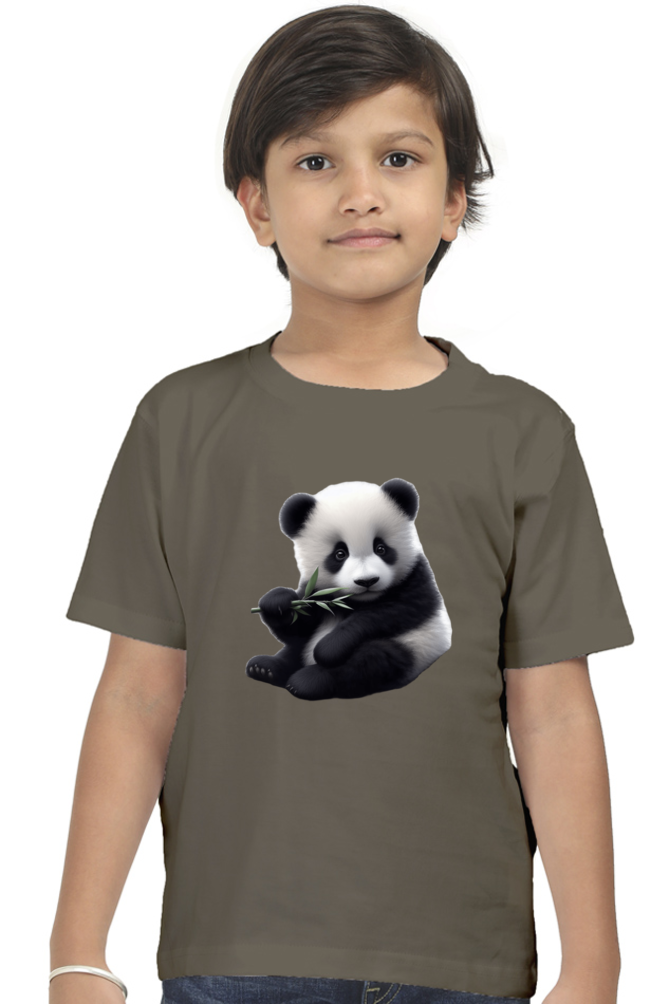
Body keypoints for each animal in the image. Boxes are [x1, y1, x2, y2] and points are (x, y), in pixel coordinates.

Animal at [246, 478, 452, 701]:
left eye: (380, 548)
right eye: (340, 553)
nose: (367, 581)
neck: (357, 601)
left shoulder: (416, 579)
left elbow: (391, 611)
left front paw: (328, 649)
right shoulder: (318, 593)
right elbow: (299, 628)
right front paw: (278, 602)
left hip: (417, 645)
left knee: (372, 661)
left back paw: (307, 680)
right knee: (295, 650)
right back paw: (265, 667)